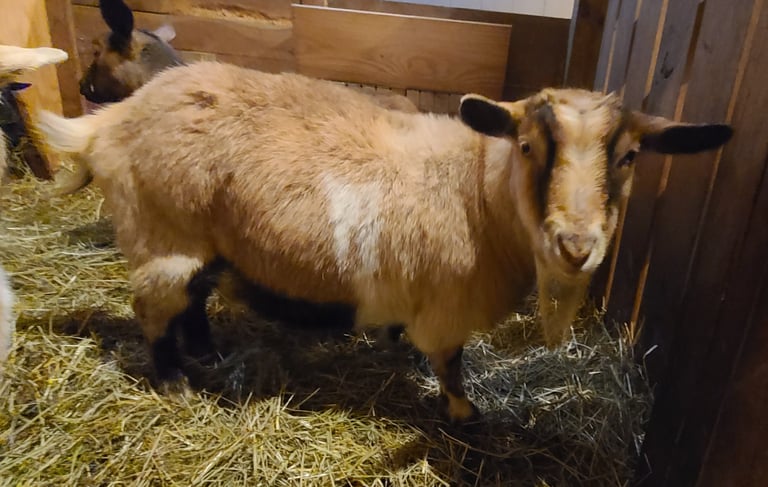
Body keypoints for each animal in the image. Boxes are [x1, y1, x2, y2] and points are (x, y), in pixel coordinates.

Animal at [38, 62, 732, 420]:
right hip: (162, 233)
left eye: (631, 156)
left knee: (194, 298)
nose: (576, 245)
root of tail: (112, 120)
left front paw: (394, 348)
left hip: (199, 239)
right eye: (528, 147)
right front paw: (465, 416)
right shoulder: (449, 310)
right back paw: (174, 380)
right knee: (155, 307)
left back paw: (206, 354)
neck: (478, 194)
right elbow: (451, 365)